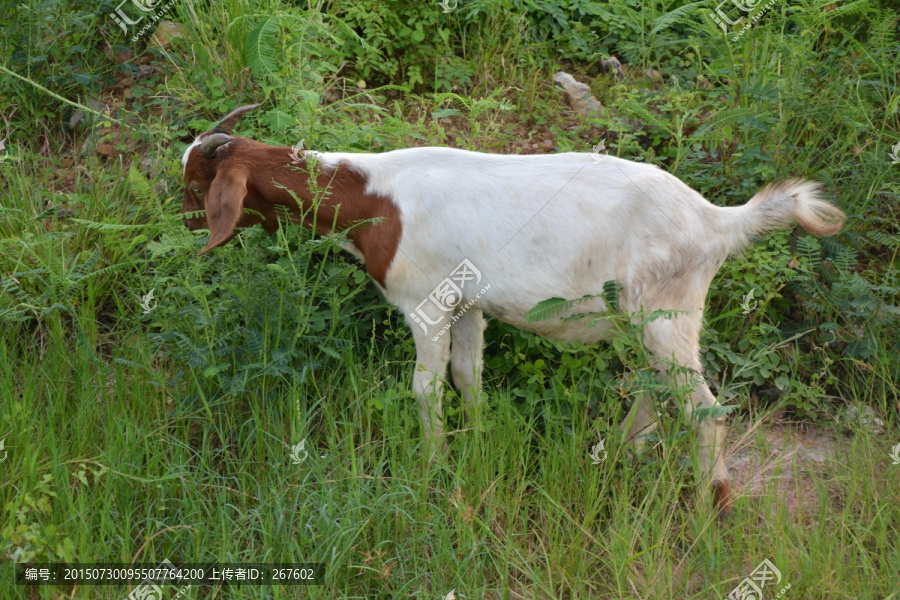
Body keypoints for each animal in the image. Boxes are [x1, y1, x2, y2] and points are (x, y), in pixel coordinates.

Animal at [181, 104, 844, 510]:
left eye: (196, 185)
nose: (186, 224)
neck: (372, 199)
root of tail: (717, 220)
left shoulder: (425, 301)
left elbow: (426, 386)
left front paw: (433, 466)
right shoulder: (467, 303)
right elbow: (469, 374)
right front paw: (477, 443)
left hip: (668, 312)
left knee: (703, 407)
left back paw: (712, 503)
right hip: (644, 319)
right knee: (655, 388)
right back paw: (617, 455)